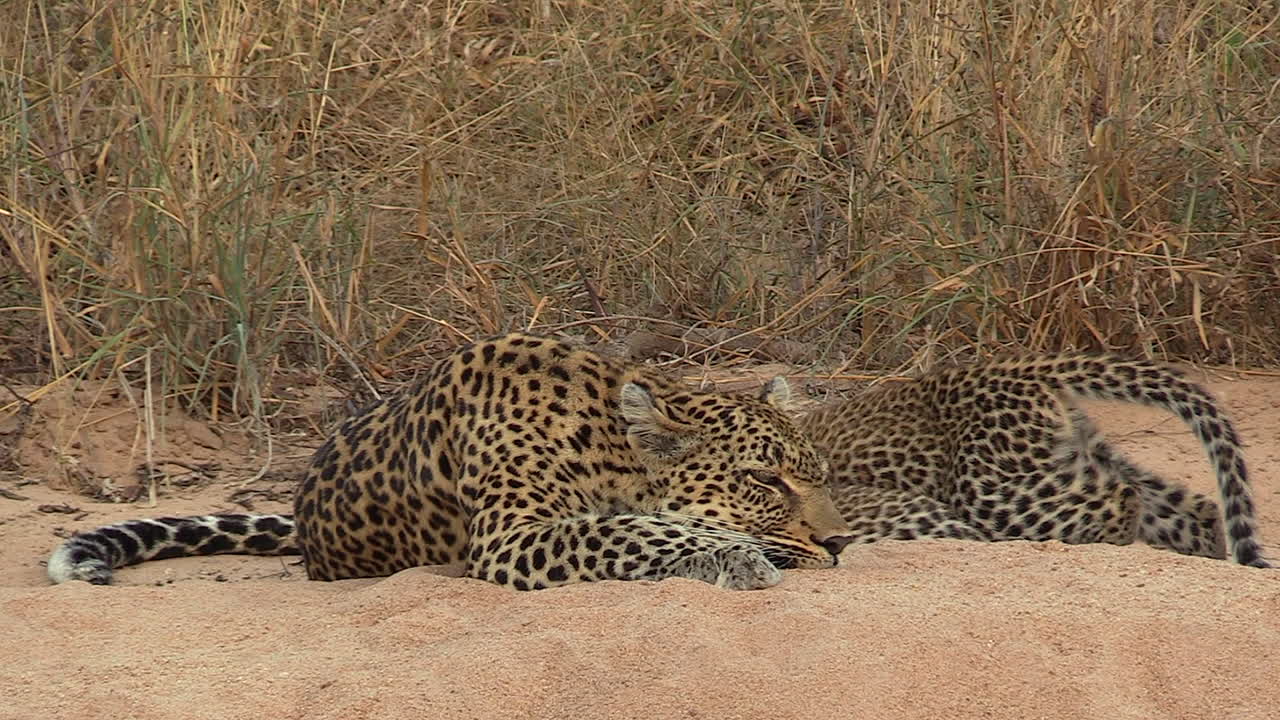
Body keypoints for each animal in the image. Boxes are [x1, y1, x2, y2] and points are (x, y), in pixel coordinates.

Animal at [46, 333, 856, 591]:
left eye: (818, 475)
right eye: (764, 480)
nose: (842, 541)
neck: (602, 443)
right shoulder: (512, 539)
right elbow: (625, 530)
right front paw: (737, 554)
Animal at [798, 354, 1270, 568]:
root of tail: (1024, 369)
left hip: (991, 490)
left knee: (1120, 499)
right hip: (1075, 455)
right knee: (1192, 507)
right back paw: (1208, 558)